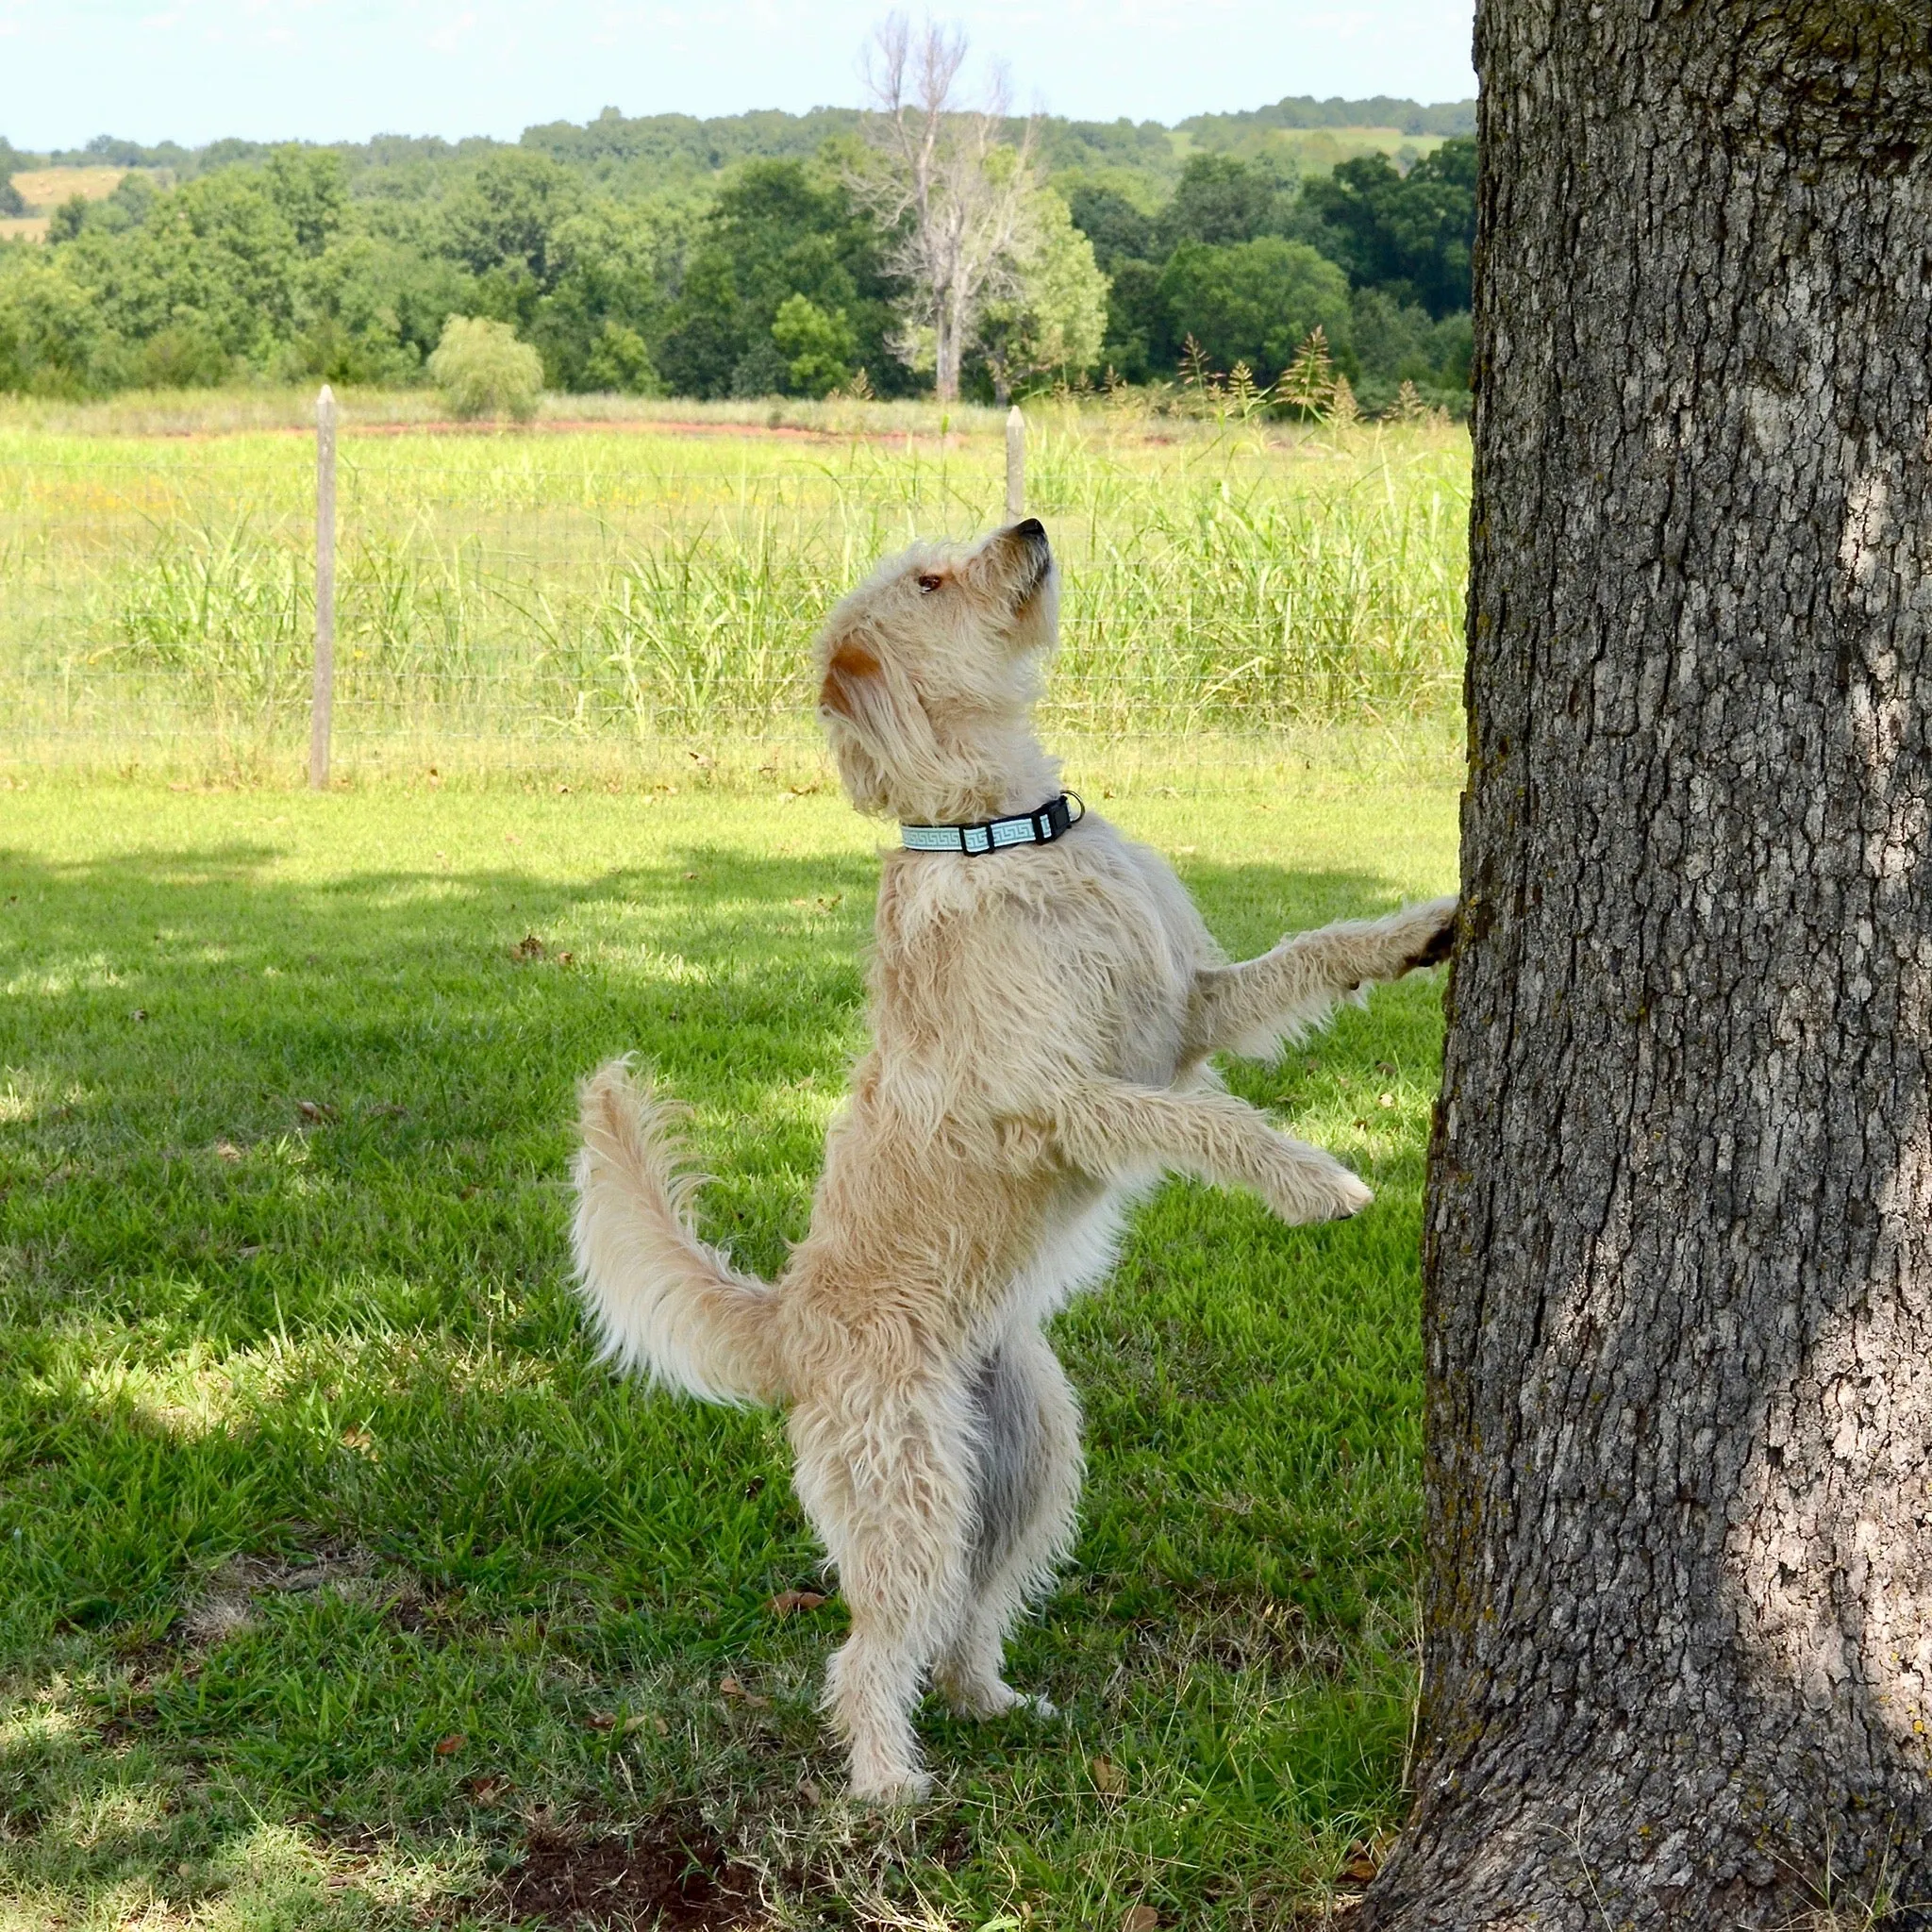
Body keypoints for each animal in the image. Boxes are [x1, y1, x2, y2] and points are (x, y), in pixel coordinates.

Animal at [568, 521, 1453, 1800]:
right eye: (929, 580)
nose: (1030, 527)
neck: (1004, 831)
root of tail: (786, 1321)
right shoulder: (1065, 1102)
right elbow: (1213, 1126)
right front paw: (1314, 1181)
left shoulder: (1188, 1011)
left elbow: (1308, 953)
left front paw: (1421, 927)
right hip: (907, 1488)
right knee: (867, 1647)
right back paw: (886, 1781)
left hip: (1028, 1460)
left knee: (964, 1615)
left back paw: (993, 1701)